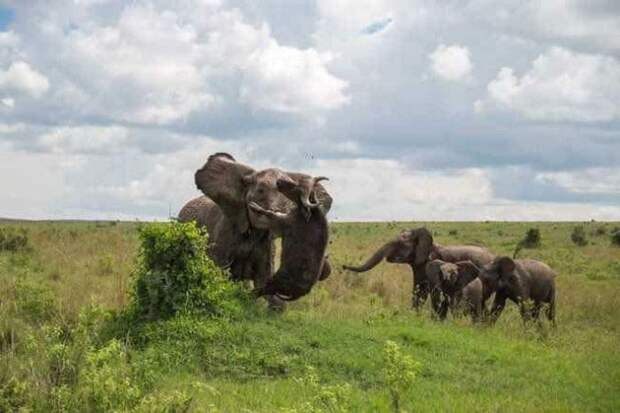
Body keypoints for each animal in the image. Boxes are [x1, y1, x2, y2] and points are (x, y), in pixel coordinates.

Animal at [178, 151, 334, 302]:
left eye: (287, 201)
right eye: (260, 191)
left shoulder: (267, 242)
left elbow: (262, 278)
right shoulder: (223, 233)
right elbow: (219, 275)